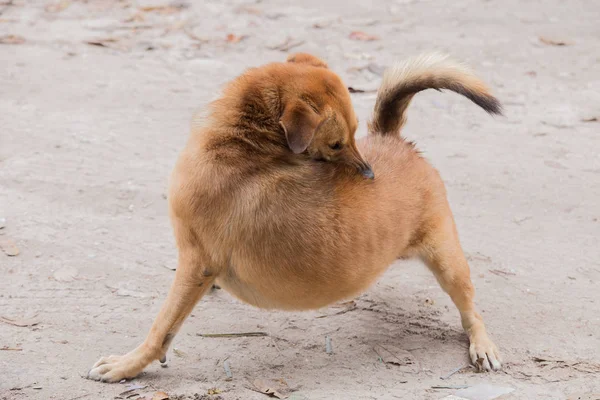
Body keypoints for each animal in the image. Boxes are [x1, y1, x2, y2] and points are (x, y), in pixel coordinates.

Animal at [88, 52, 502, 382]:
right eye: (337, 143)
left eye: (348, 137)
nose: (370, 175)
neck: (242, 145)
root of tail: (393, 139)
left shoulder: (196, 263)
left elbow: (161, 329)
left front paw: (127, 365)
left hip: (448, 262)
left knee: (471, 311)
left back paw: (482, 345)